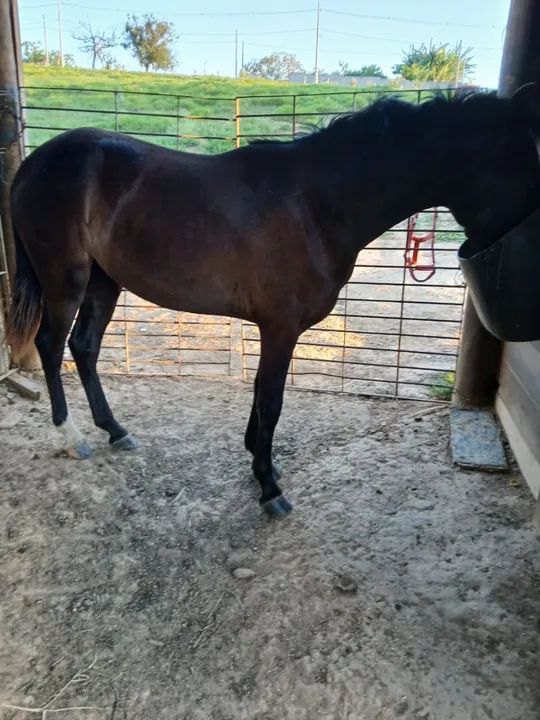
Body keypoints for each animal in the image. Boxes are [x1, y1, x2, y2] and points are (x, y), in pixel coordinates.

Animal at [7, 86, 540, 517]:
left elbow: (263, 393)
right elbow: (272, 399)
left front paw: (256, 460)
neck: (316, 205)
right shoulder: (281, 326)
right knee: (51, 346)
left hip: (104, 282)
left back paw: (115, 430)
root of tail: (33, 164)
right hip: (66, 280)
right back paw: (72, 437)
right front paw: (269, 487)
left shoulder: (272, 326)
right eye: (525, 166)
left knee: (85, 347)